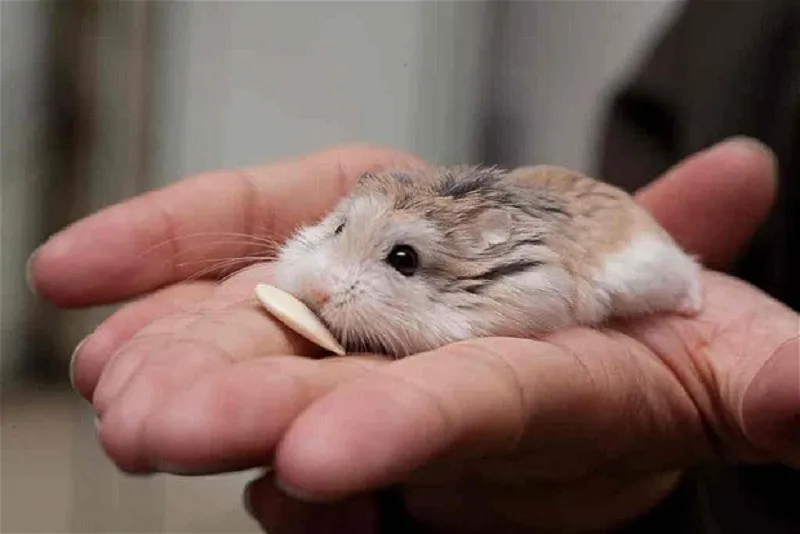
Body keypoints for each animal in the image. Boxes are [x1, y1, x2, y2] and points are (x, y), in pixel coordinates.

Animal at [271, 164, 703, 358]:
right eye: (340, 228)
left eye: (404, 259)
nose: (319, 292)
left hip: (650, 274)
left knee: (691, 273)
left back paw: (693, 308)